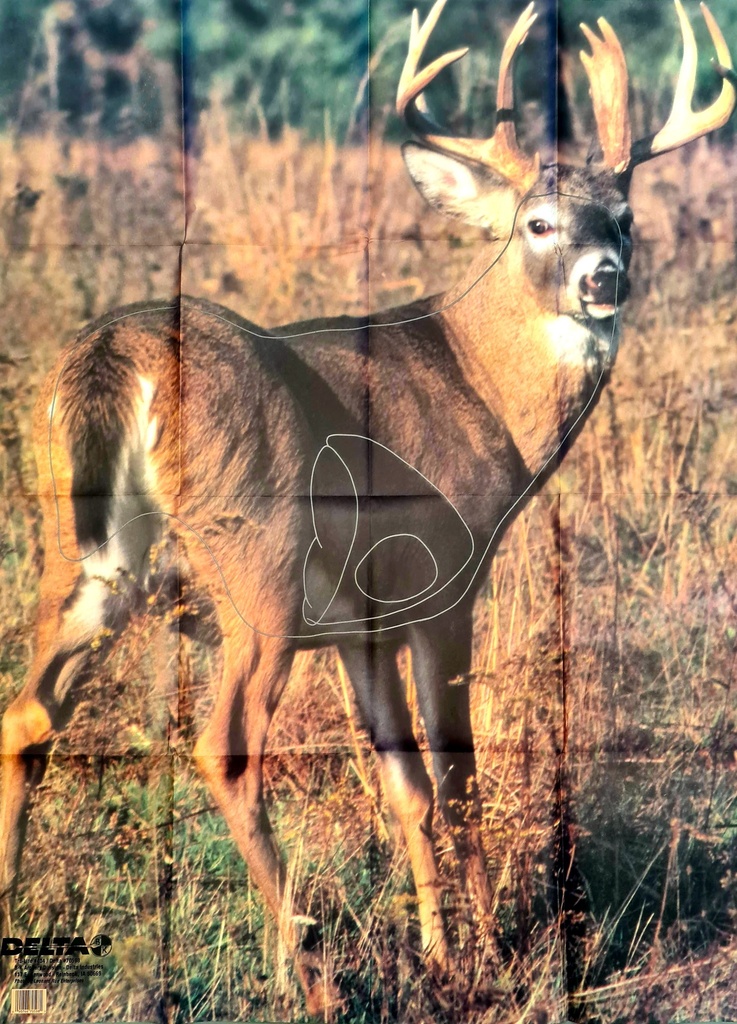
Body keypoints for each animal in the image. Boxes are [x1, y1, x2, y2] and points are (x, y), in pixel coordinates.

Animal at [1, 0, 734, 1016]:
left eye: (624, 217)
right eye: (535, 222)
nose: (601, 276)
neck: (479, 387)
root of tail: (115, 358)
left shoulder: (362, 626)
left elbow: (405, 787)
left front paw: (438, 953)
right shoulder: (443, 580)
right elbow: (457, 777)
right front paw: (493, 957)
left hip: (78, 560)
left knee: (24, 718)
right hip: (257, 565)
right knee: (224, 747)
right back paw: (312, 977)